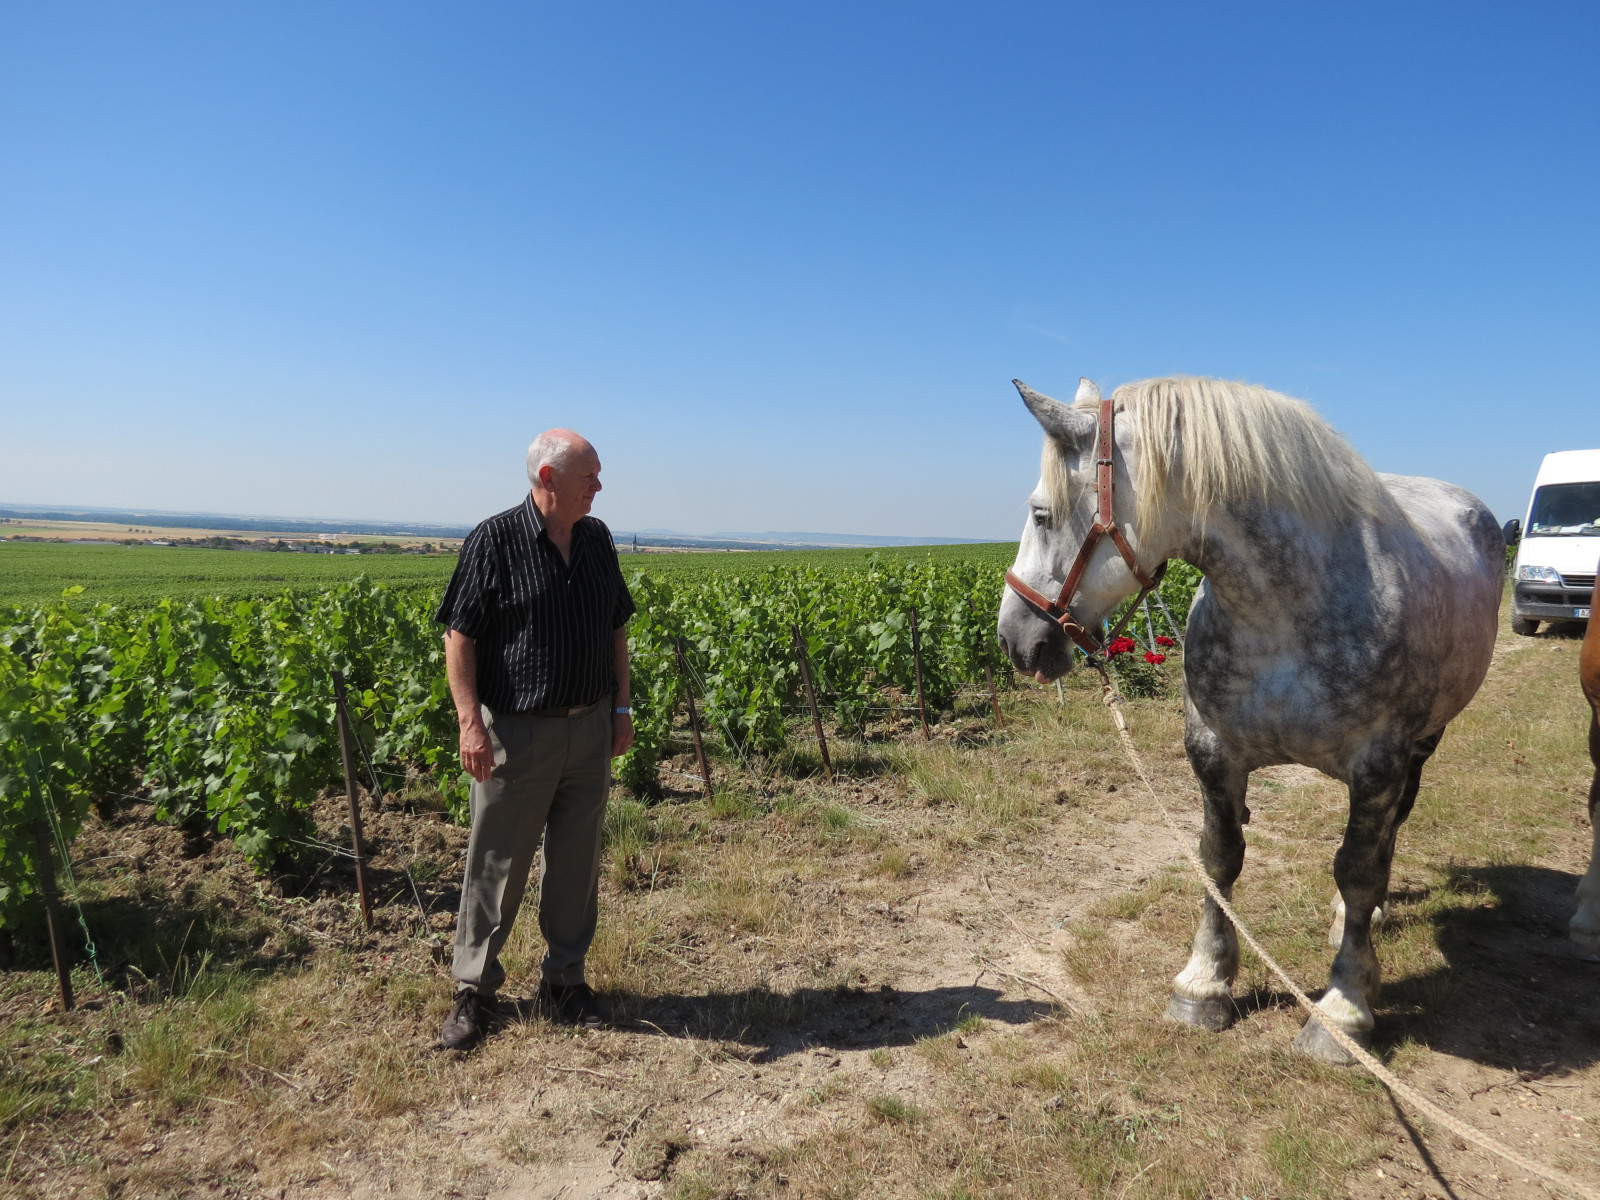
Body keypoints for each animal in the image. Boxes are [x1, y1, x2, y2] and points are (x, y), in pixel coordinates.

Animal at [992, 376, 1504, 1062]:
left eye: (1042, 513)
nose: (1015, 639)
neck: (1283, 612)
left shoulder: (1378, 766)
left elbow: (1358, 871)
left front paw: (1343, 1010)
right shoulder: (1214, 754)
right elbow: (1220, 860)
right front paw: (1203, 985)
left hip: (1422, 745)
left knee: (1389, 835)